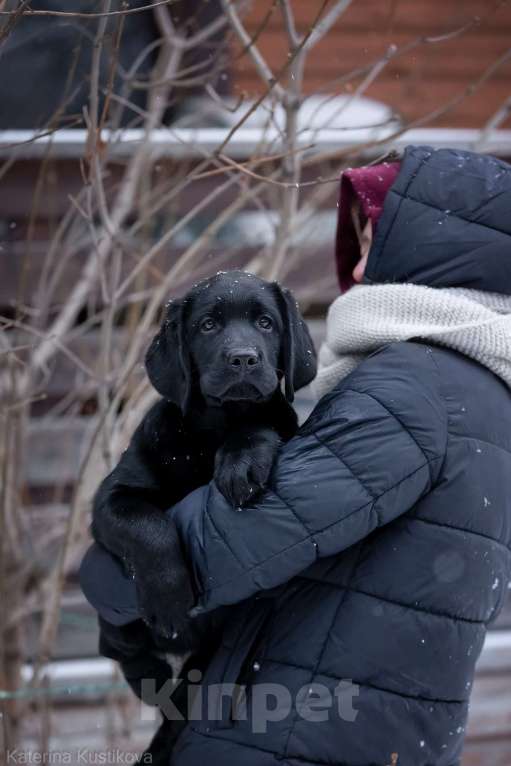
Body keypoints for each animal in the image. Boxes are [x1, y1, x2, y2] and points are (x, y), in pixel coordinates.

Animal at [89, 270, 316, 756]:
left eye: (266, 323)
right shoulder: (108, 501)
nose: (244, 359)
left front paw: (241, 461)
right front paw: (170, 600)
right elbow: (145, 526)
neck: (213, 432)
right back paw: (153, 677)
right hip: (119, 630)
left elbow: (262, 419)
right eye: (208, 326)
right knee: (120, 650)